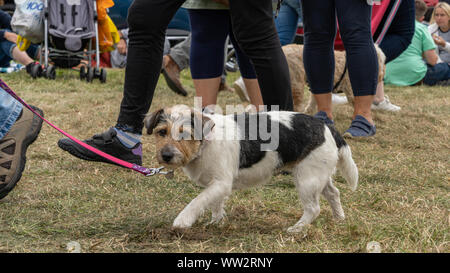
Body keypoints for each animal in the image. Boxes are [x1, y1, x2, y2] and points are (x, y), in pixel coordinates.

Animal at [145, 104, 358, 232]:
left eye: (184, 134)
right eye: (162, 132)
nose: (166, 155)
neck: (205, 143)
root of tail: (327, 127)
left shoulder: (221, 183)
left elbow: (198, 201)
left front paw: (183, 221)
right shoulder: (217, 185)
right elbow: (215, 203)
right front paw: (217, 221)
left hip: (307, 180)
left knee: (314, 208)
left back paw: (296, 229)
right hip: (318, 174)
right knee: (333, 193)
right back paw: (339, 218)